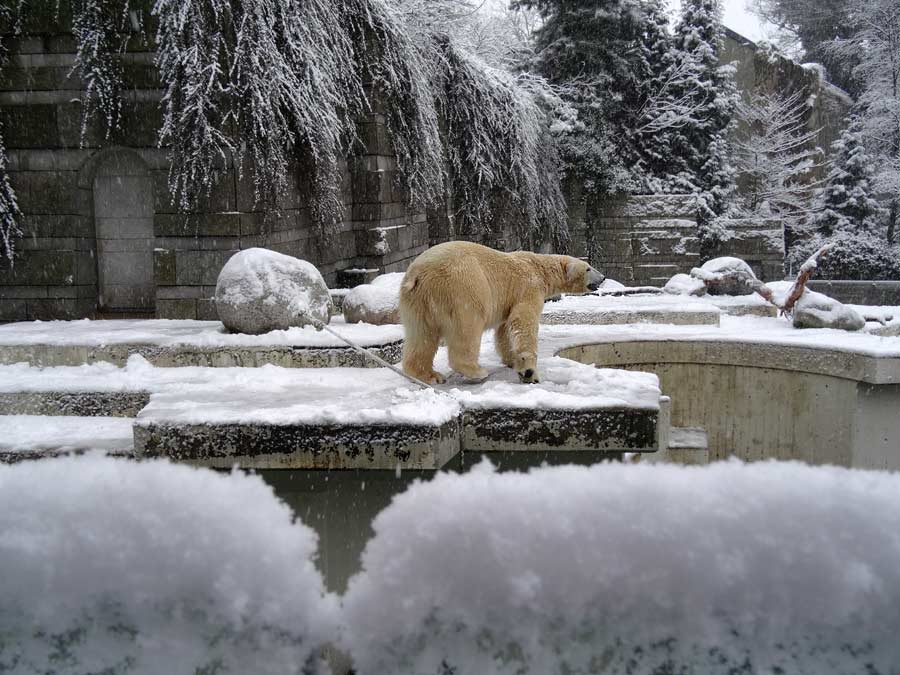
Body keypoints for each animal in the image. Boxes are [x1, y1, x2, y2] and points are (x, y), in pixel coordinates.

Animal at [400, 240, 604, 382]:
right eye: (588, 268)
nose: (602, 277)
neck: (539, 267)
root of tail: (418, 272)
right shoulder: (529, 286)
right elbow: (523, 320)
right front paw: (528, 371)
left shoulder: (510, 299)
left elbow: (505, 329)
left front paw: (511, 359)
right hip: (463, 286)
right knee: (468, 328)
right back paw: (477, 371)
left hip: (417, 302)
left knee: (422, 335)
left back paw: (429, 375)